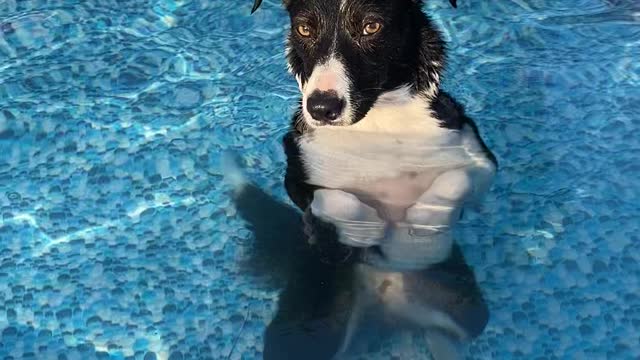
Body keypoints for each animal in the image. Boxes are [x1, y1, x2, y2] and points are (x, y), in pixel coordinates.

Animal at [238, 1, 498, 358]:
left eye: (371, 27)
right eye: (304, 29)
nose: (321, 107)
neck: (377, 124)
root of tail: (384, 304)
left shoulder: (480, 158)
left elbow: (457, 178)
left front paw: (425, 219)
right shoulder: (297, 176)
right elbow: (333, 199)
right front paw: (366, 228)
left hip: (467, 307)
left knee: (444, 331)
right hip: (308, 335)